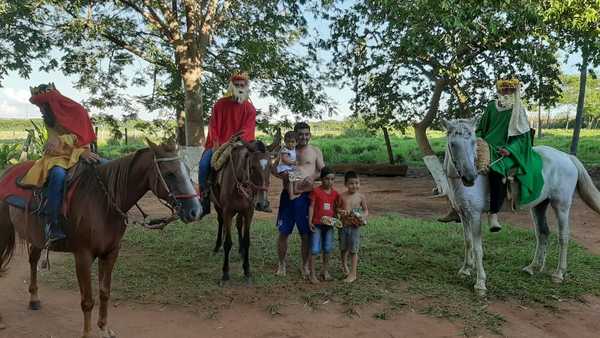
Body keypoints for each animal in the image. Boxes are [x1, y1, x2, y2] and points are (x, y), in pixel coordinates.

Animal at [0, 141, 202, 338]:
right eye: (169, 174)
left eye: (186, 169)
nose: (196, 210)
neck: (103, 203)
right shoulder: (83, 256)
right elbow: (87, 301)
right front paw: (87, 333)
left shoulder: (110, 253)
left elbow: (104, 292)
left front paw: (104, 328)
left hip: (36, 237)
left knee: (33, 260)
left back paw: (34, 299)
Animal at [212, 141, 274, 286]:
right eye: (252, 167)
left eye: (270, 166)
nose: (263, 203)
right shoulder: (227, 212)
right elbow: (228, 243)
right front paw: (225, 272)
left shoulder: (248, 211)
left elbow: (247, 241)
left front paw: (247, 270)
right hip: (217, 206)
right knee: (220, 222)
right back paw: (217, 245)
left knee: (239, 224)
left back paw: (241, 250)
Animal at [440, 118, 600, 296]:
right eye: (453, 144)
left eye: (473, 142)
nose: (470, 178)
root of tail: (567, 156)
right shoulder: (464, 214)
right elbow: (467, 241)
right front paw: (466, 269)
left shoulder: (474, 215)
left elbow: (477, 248)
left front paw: (480, 283)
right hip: (539, 205)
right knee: (543, 233)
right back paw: (533, 267)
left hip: (562, 205)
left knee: (563, 236)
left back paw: (559, 274)